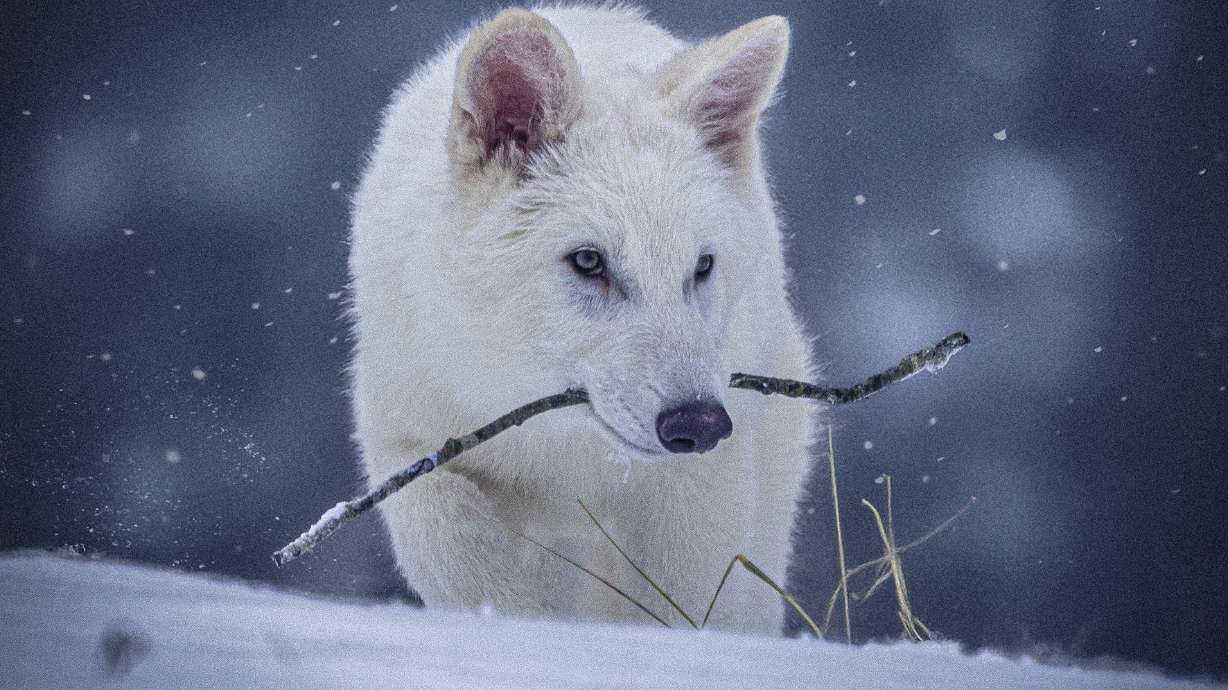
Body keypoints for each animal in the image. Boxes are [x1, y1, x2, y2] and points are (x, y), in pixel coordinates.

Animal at [349, 4, 818, 634]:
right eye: (589, 261)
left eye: (701, 266)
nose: (699, 424)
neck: (563, 448)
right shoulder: (407, 442)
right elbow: (456, 547)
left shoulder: (695, 490)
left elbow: (678, 606)